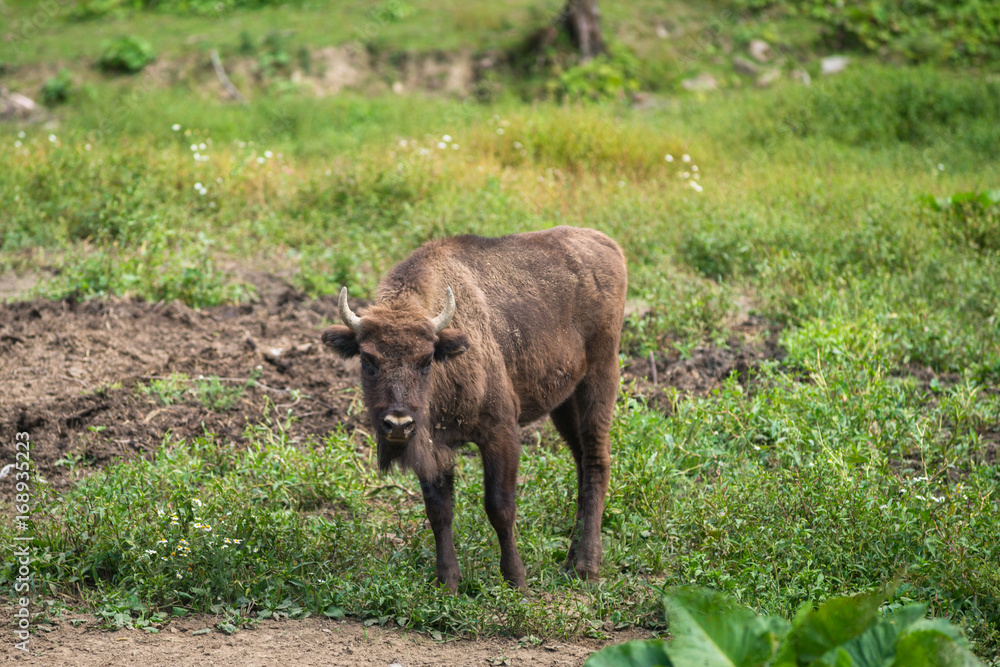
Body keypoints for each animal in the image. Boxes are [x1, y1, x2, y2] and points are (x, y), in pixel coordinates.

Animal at [324, 226, 624, 588]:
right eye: (368, 361)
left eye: (426, 361)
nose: (398, 423)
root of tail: (606, 244)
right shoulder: (434, 448)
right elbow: (439, 510)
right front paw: (447, 582)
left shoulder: (500, 434)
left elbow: (500, 507)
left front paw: (516, 580)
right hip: (564, 402)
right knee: (580, 461)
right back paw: (569, 562)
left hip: (599, 378)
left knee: (596, 460)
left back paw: (586, 567)